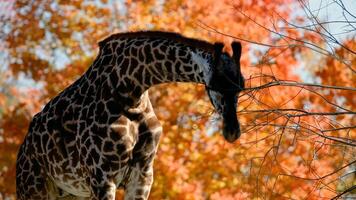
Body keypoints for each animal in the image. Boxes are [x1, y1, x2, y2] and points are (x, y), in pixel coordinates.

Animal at [16, 31, 245, 200]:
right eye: (215, 86)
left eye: (241, 87)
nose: (232, 131)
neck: (131, 91)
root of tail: (23, 149)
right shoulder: (102, 176)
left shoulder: (143, 173)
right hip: (34, 188)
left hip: (72, 194)